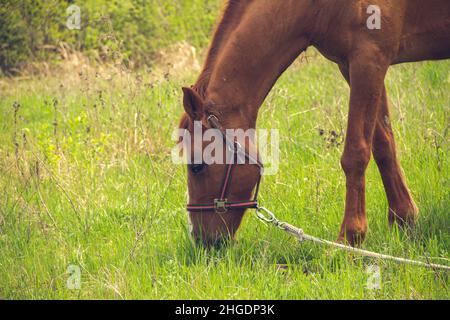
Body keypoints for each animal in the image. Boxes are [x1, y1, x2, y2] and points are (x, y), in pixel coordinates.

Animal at [178, 0, 450, 246]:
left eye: (197, 166)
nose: (200, 239)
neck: (316, 6)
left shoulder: (369, 58)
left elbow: (356, 154)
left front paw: (349, 239)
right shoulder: (355, 65)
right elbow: (383, 145)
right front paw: (404, 221)